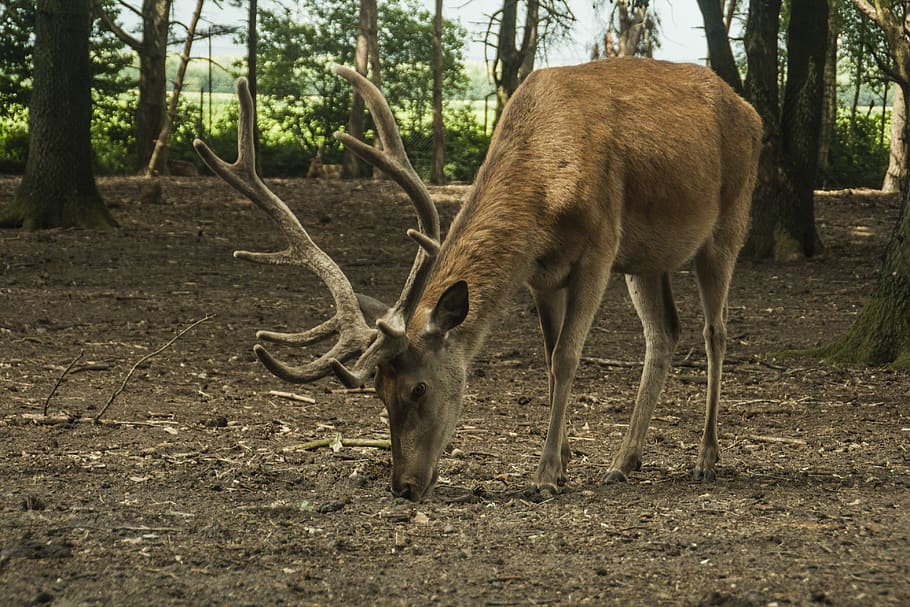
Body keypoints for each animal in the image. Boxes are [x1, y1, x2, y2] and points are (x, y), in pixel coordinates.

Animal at [194, 58, 762, 502]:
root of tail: (752, 111)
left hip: (728, 223)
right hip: (648, 259)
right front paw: (567, 458)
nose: (403, 486)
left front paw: (545, 475)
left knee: (715, 332)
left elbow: (567, 356)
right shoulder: (541, 273)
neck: (545, 190)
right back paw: (624, 462)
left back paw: (706, 457)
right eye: (378, 391)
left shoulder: (600, 247)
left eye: (419, 389)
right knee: (663, 334)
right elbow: (549, 355)